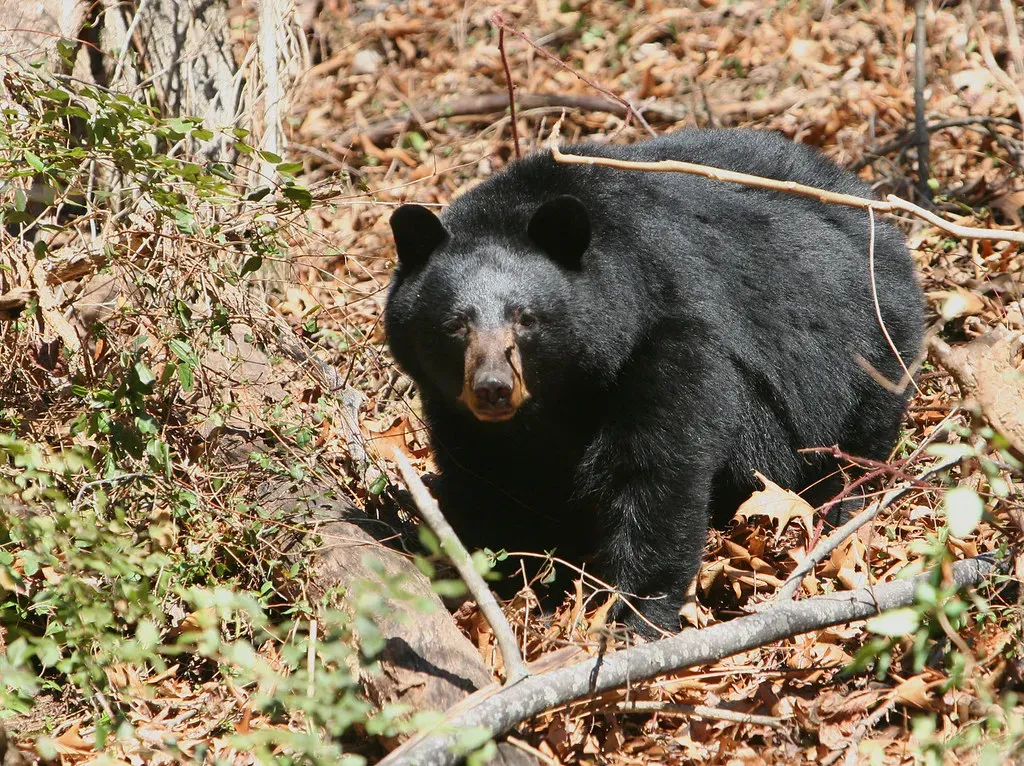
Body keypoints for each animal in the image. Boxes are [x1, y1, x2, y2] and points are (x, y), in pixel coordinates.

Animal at [385, 129, 923, 637]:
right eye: (455, 324)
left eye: (527, 318)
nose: (493, 387)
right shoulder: (457, 412)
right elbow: (489, 485)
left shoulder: (669, 339)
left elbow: (656, 473)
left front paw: (632, 614)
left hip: (870, 348)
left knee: (856, 443)